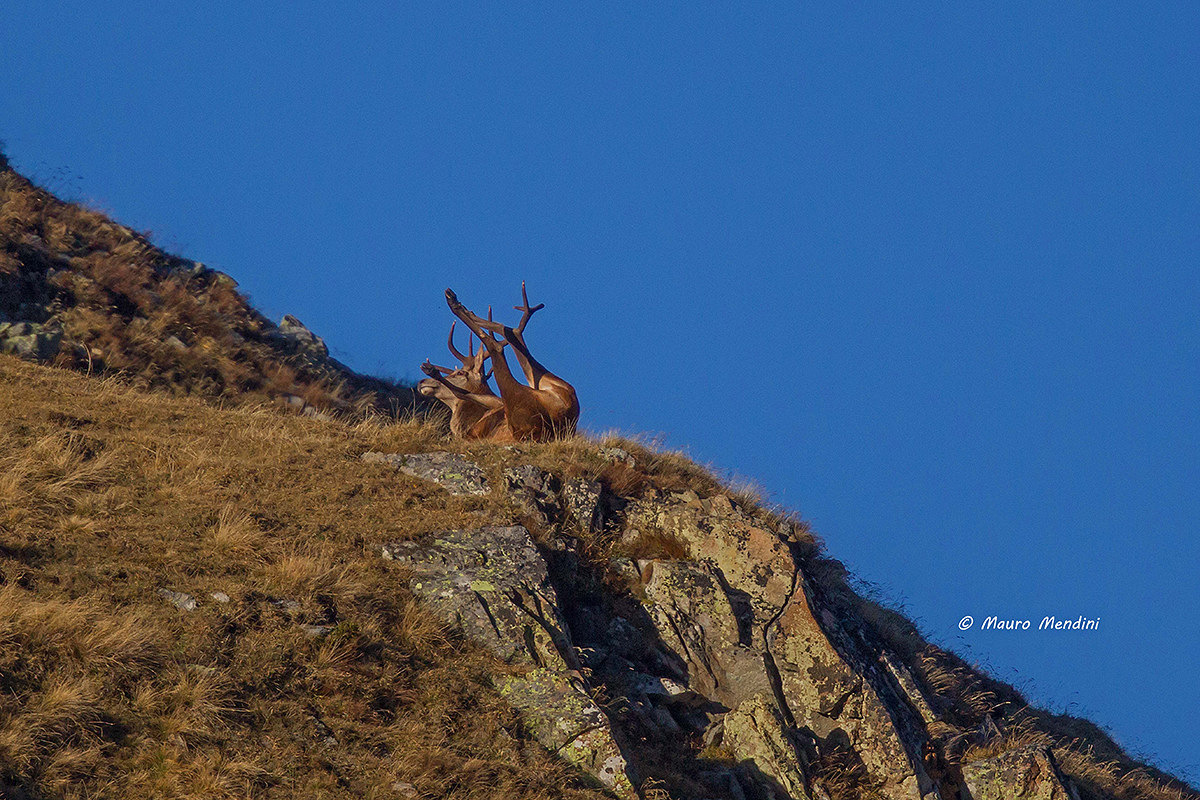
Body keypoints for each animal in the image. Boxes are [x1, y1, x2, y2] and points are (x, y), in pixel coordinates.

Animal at [441, 282, 580, 442]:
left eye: (460, 373)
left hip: (517, 398)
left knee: (496, 345)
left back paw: (454, 303)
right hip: (551, 382)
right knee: (513, 335)